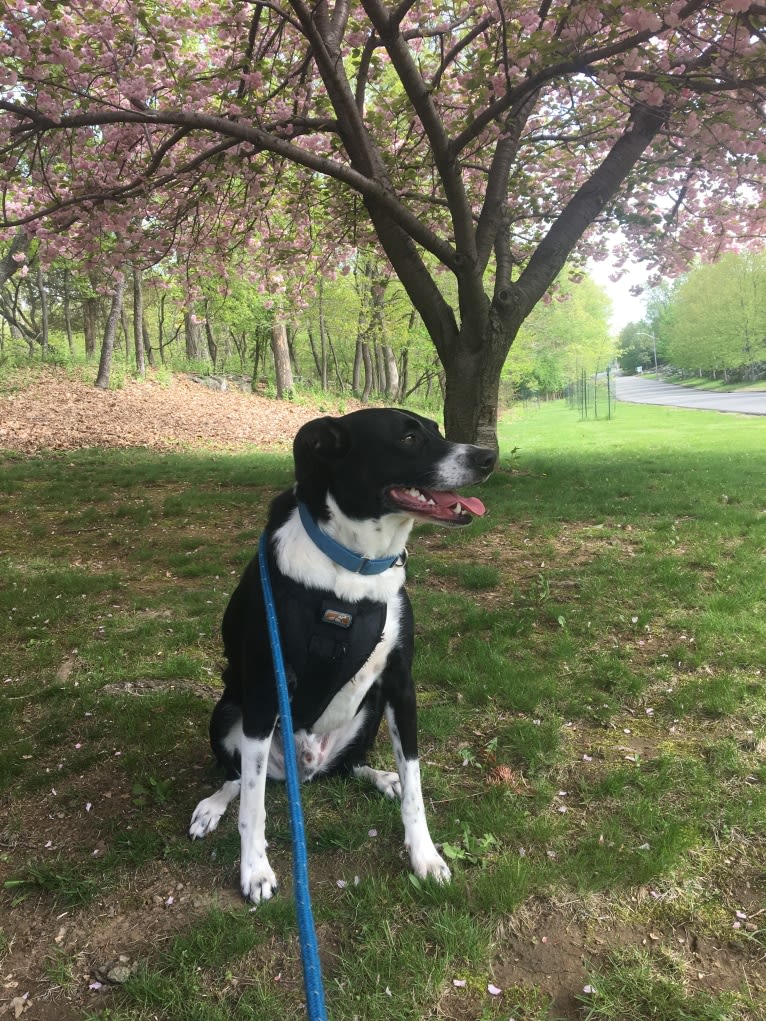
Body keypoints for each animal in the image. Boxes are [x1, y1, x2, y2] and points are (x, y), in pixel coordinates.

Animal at [188, 406, 494, 902]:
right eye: (408, 438)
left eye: (436, 429)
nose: (489, 457)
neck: (356, 569)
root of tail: (304, 771)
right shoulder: (264, 689)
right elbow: (252, 804)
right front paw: (254, 869)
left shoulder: (400, 684)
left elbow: (415, 783)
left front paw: (424, 855)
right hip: (227, 712)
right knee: (238, 778)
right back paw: (212, 807)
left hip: (368, 710)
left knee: (349, 766)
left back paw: (380, 777)